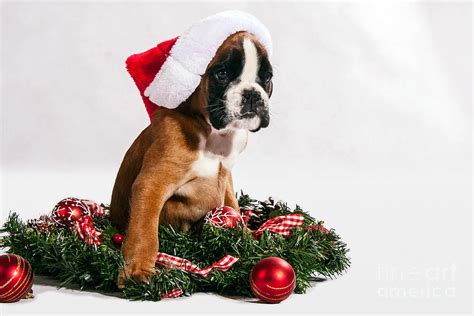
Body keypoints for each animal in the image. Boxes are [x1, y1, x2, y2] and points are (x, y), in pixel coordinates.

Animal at [110, 31, 272, 286]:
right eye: (221, 74)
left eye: (266, 77)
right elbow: (144, 229)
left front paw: (248, 241)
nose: (252, 94)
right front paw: (137, 269)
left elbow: (234, 208)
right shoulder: (151, 185)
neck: (212, 132)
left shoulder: (226, 178)